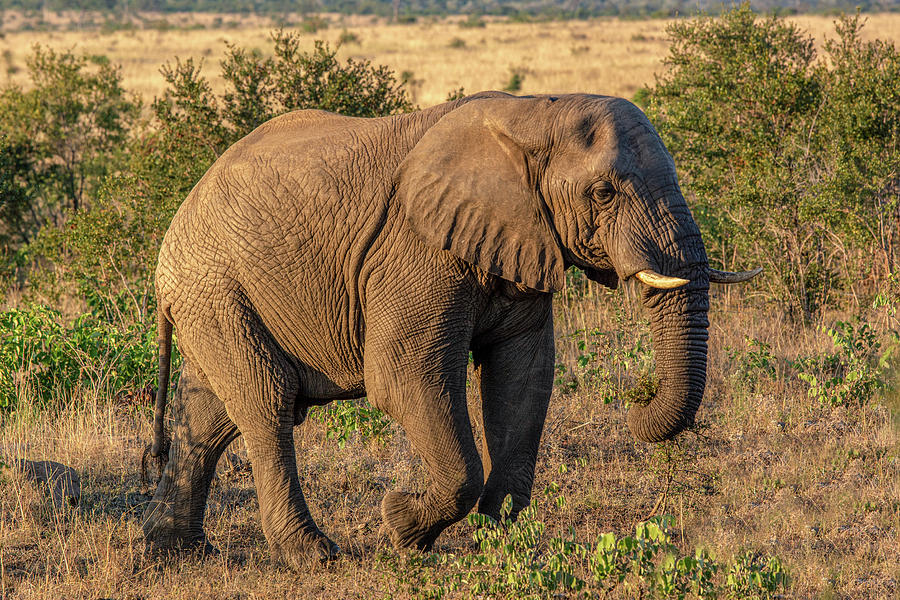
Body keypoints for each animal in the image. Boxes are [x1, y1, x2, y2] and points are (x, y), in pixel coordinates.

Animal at [146, 90, 760, 568]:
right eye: (604, 192)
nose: (636, 406)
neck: (533, 114)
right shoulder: (415, 250)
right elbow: (405, 379)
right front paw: (400, 527)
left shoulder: (520, 242)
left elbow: (522, 378)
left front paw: (497, 538)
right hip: (215, 286)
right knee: (266, 405)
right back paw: (314, 556)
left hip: (215, 298)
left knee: (209, 417)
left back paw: (173, 551)